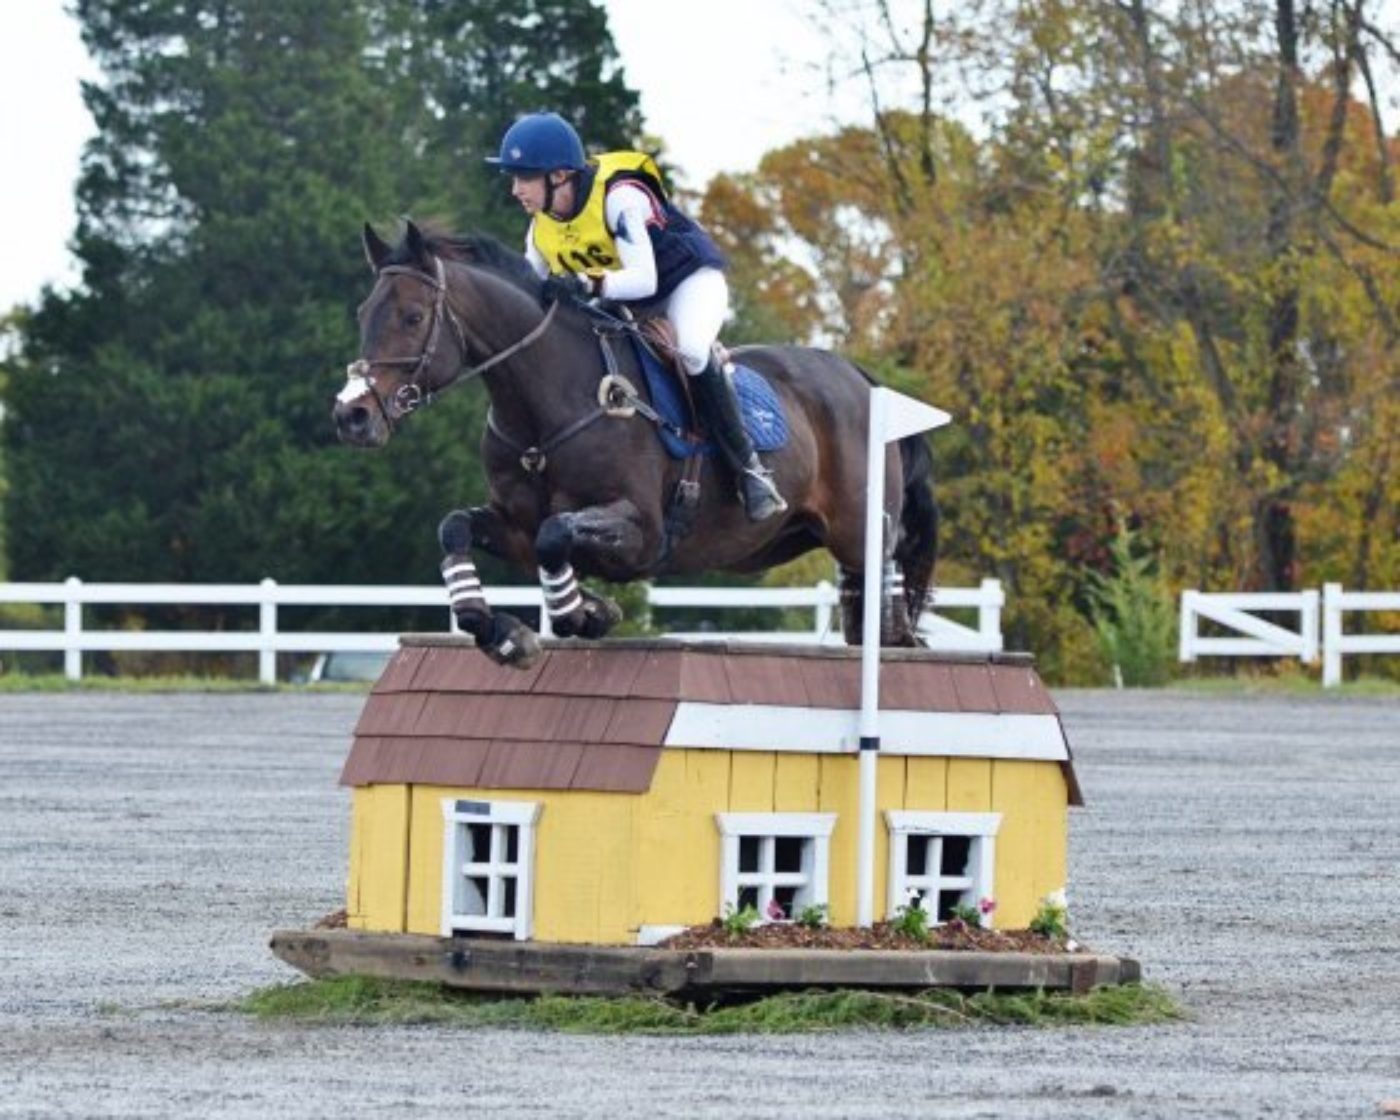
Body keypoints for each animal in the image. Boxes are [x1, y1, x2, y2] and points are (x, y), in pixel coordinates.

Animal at [331, 222, 935, 669]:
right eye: (362, 314)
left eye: (412, 317)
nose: (351, 416)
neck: (544, 407)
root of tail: (859, 376)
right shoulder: (514, 525)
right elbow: (458, 528)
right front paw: (506, 629)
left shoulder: (640, 530)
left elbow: (556, 536)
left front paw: (582, 614)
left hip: (857, 533)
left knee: (886, 592)